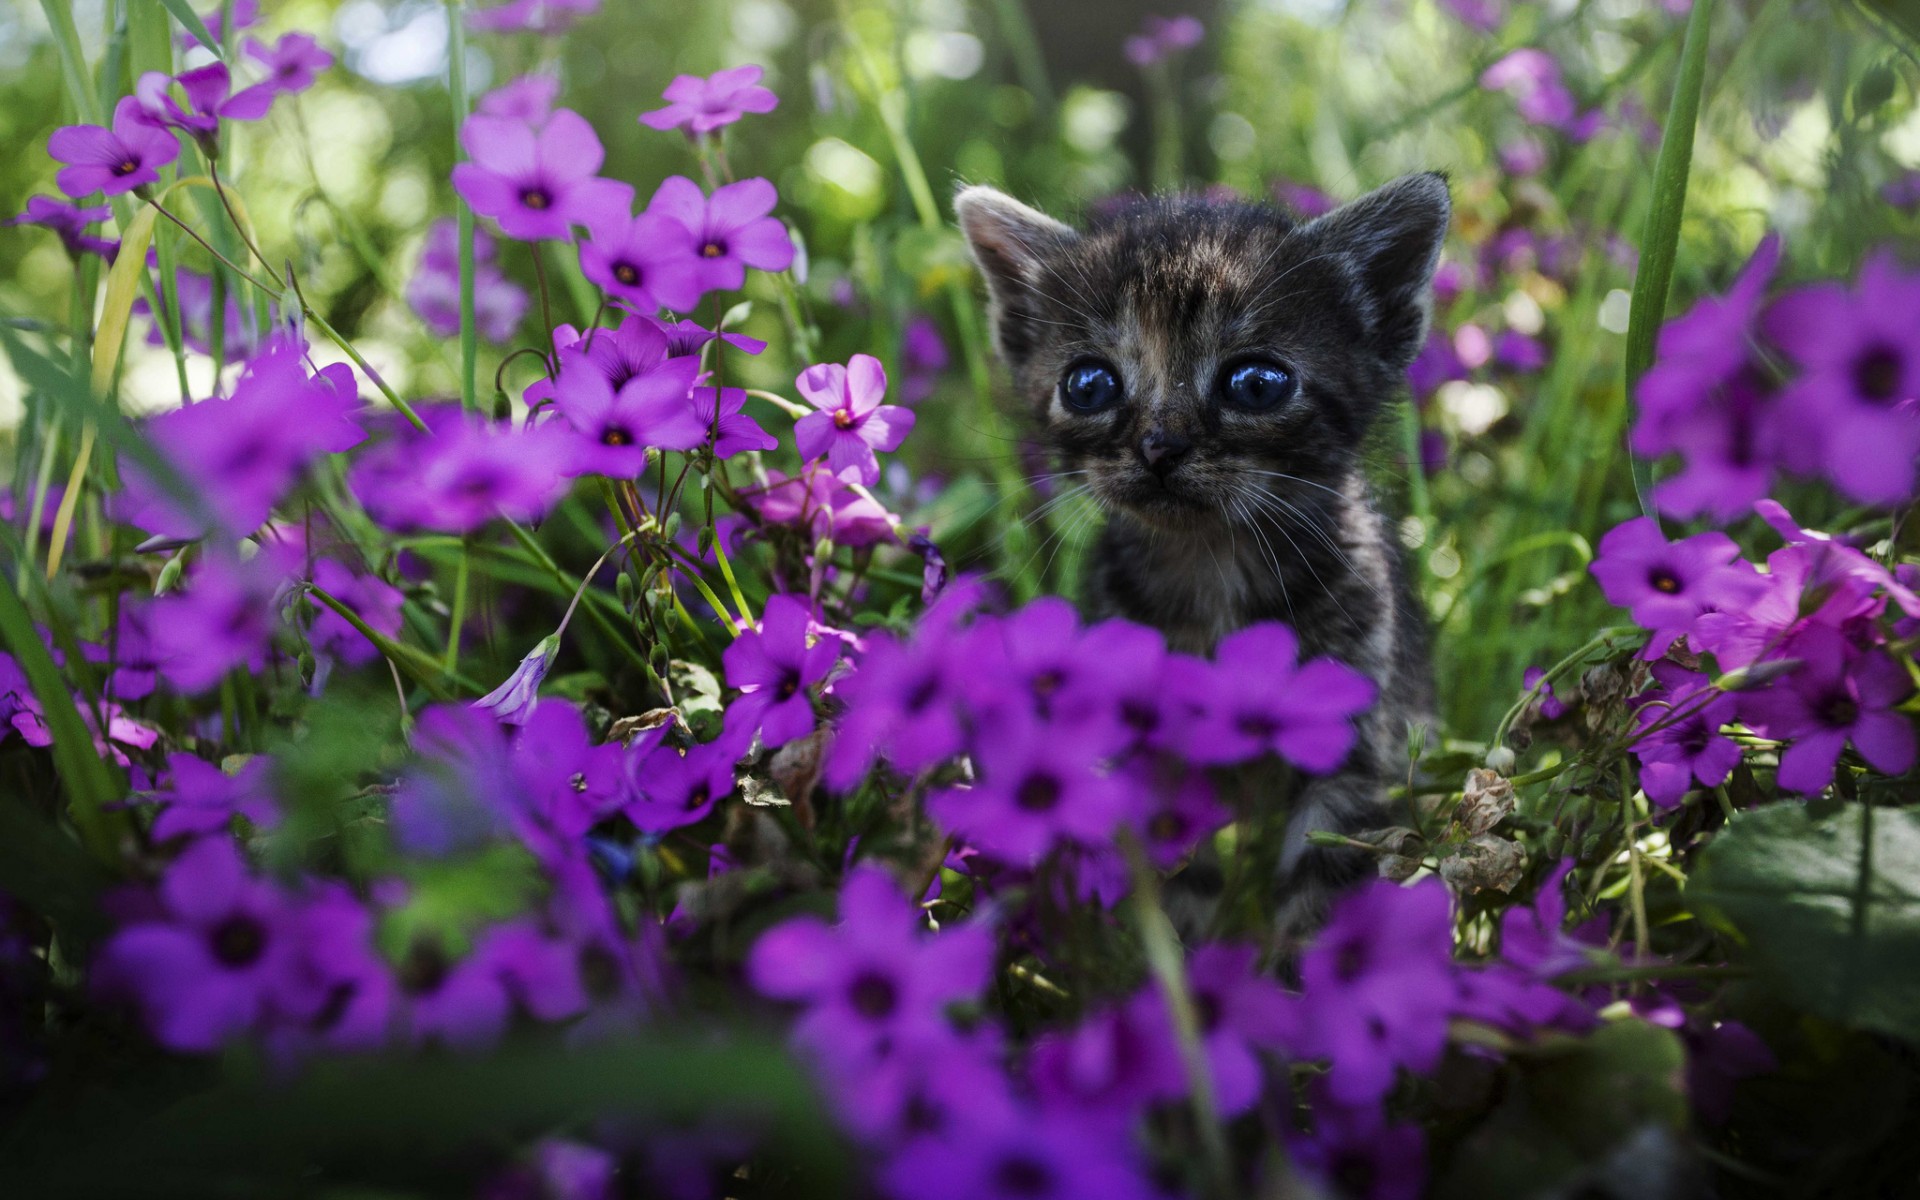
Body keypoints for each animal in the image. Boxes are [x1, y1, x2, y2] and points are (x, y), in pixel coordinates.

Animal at [952, 172, 1443, 936]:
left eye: (1256, 383)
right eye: (1089, 384)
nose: (1160, 446)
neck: (1212, 566)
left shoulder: (1355, 739)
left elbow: (1324, 896)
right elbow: (1179, 885)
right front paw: (1184, 961)